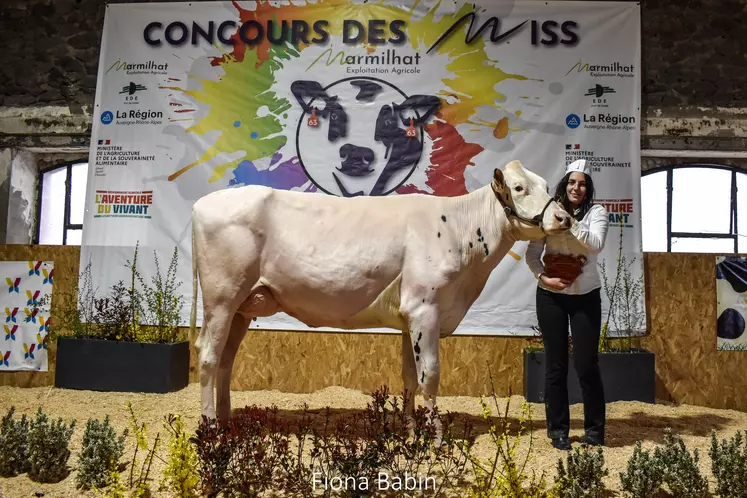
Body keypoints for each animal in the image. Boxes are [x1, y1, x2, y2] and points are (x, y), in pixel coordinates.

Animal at [188, 160, 572, 432]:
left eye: (547, 186)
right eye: (519, 187)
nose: (563, 217)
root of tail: (202, 204)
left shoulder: (409, 317)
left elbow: (409, 378)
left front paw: (411, 432)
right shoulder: (426, 309)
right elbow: (430, 375)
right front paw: (434, 437)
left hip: (242, 306)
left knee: (226, 361)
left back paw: (226, 422)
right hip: (222, 297)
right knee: (208, 356)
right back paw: (209, 428)